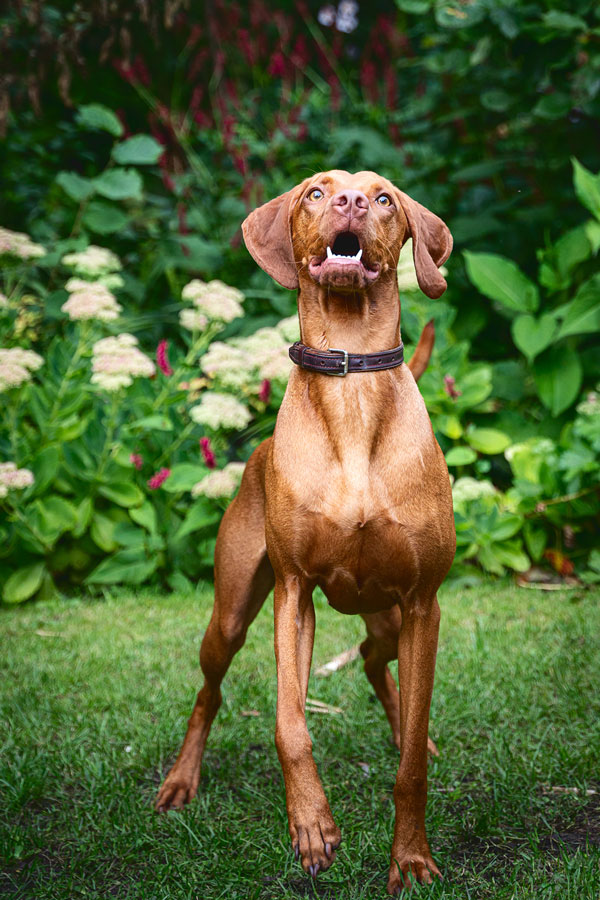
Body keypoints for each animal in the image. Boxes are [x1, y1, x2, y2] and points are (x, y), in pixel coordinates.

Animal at [155, 171, 454, 892]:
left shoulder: (423, 604)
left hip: (389, 614)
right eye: (318, 192)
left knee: (376, 659)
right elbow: (291, 724)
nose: (350, 201)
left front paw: (411, 858)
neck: (351, 385)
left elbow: (410, 767)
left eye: (384, 198)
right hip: (231, 614)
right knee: (208, 691)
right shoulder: (294, 593)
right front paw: (312, 826)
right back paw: (181, 780)